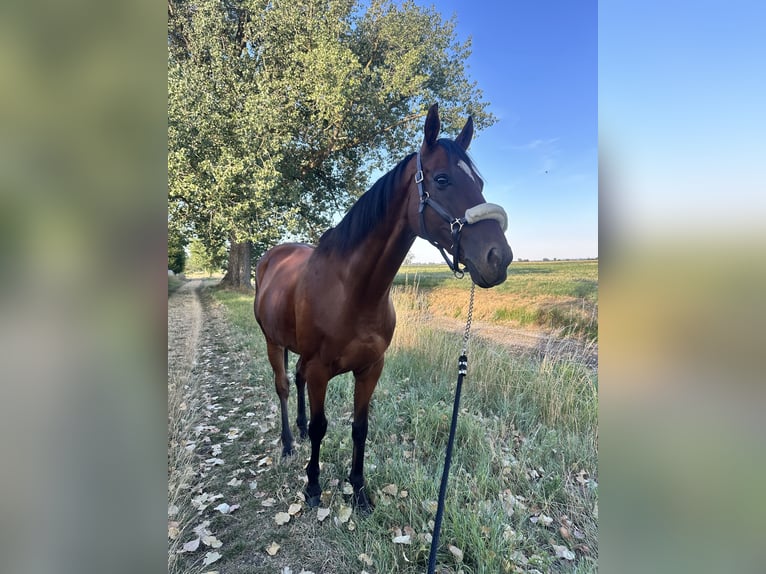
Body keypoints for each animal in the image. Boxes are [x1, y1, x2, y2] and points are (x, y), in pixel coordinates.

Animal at [254, 104, 513, 511]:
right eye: (442, 179)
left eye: (481, 184)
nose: (498, 258)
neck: (353, 290)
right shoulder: (321, 370)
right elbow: (321, 427)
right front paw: (313, 487)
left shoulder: (371, 368)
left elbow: (360, 428)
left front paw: (359, 490)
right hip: (272, 343)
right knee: (282, 386)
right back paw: (288, 444)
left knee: (295, 380)